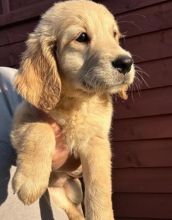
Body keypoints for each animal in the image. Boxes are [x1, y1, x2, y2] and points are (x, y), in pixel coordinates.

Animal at [10, 0, 135, 220]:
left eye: (114, 35)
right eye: (82, 37)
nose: (126, 63)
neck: (76, 102)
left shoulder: (96, 141)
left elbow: (99, 186)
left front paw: (101, 214)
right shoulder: (23, 116)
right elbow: (39, 129)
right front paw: (30, 181)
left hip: (75, 188)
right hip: (56, 194)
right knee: (72, 211)